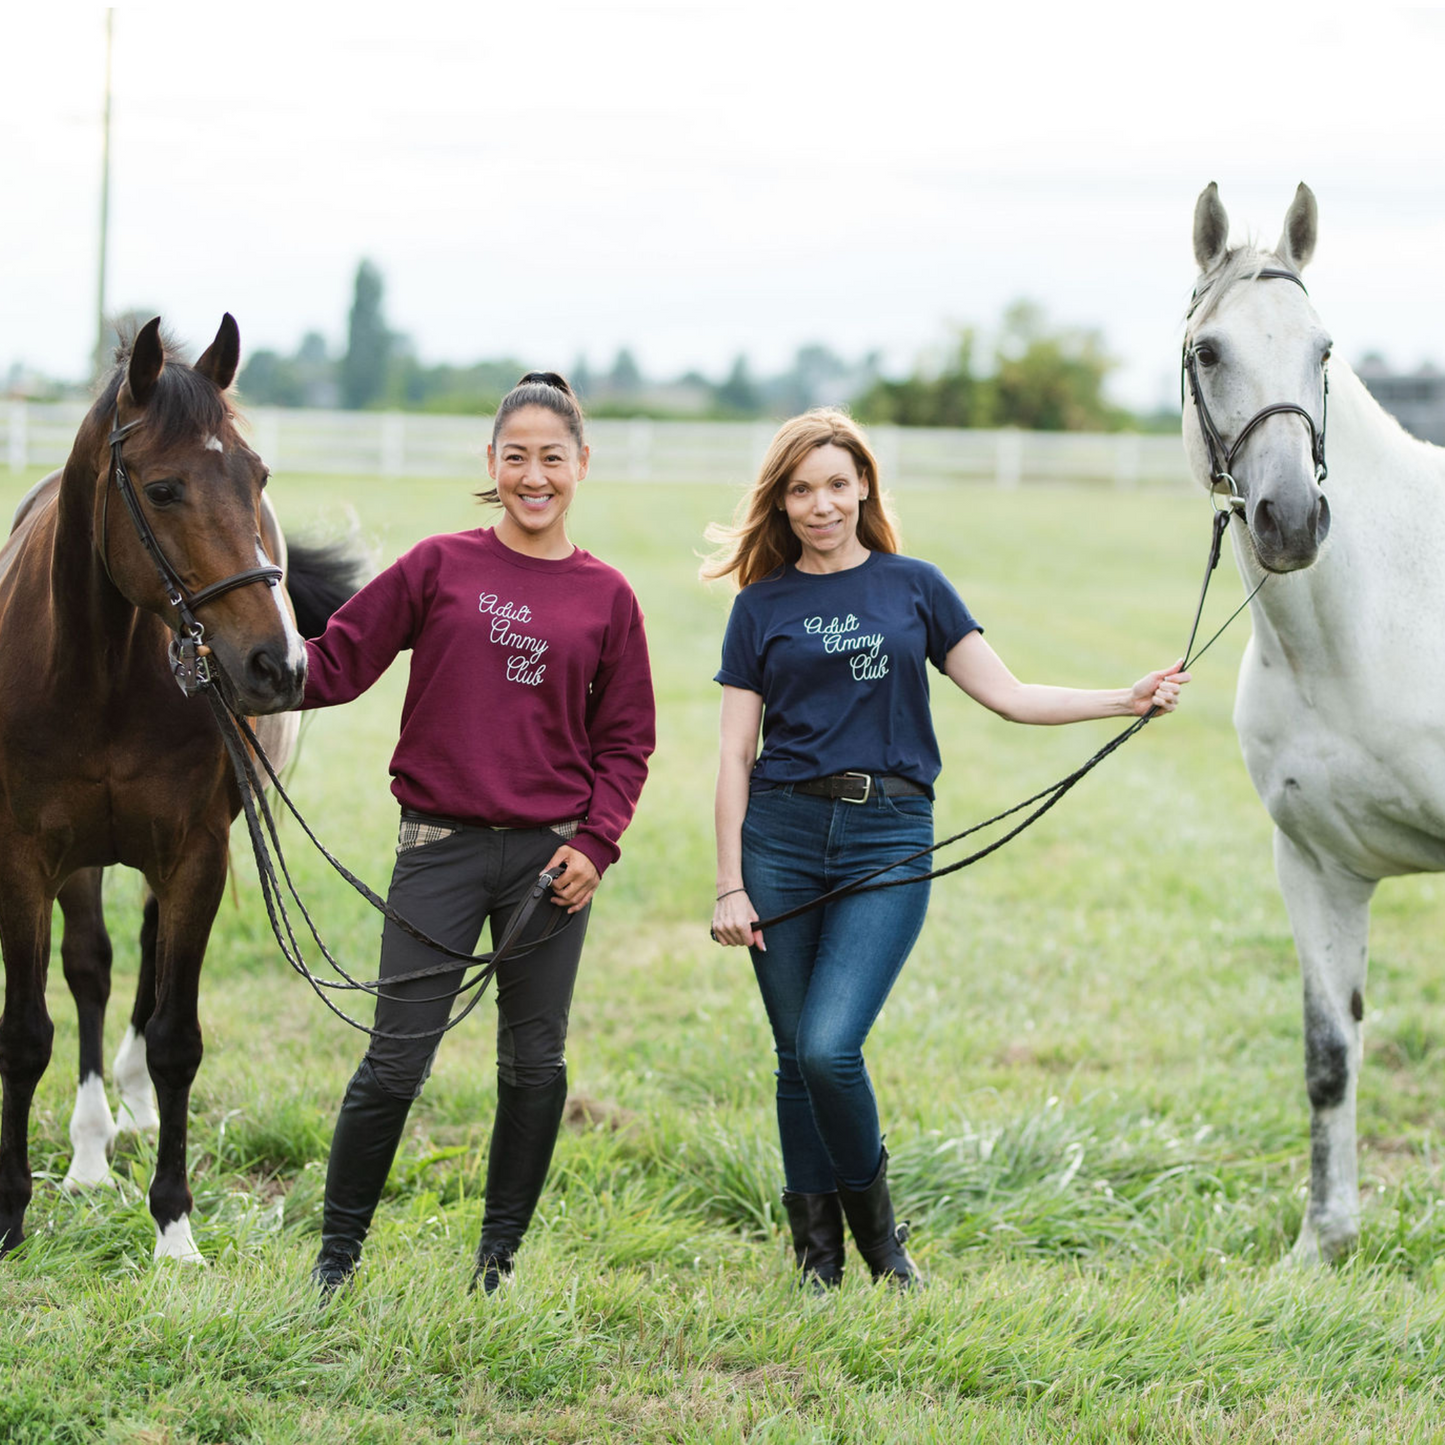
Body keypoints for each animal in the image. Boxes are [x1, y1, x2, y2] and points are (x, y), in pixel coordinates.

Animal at [0, 319, 358, 1265]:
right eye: (162, 489)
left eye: (258, 478)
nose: (277, 665)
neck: (100, 671)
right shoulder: (25, 858)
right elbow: (27, 1031)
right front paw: (9, 1217)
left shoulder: (198, 853)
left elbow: (175, 1038)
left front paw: (174, 1229)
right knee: (91, 969)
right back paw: (90, 1151)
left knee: (146, 964)